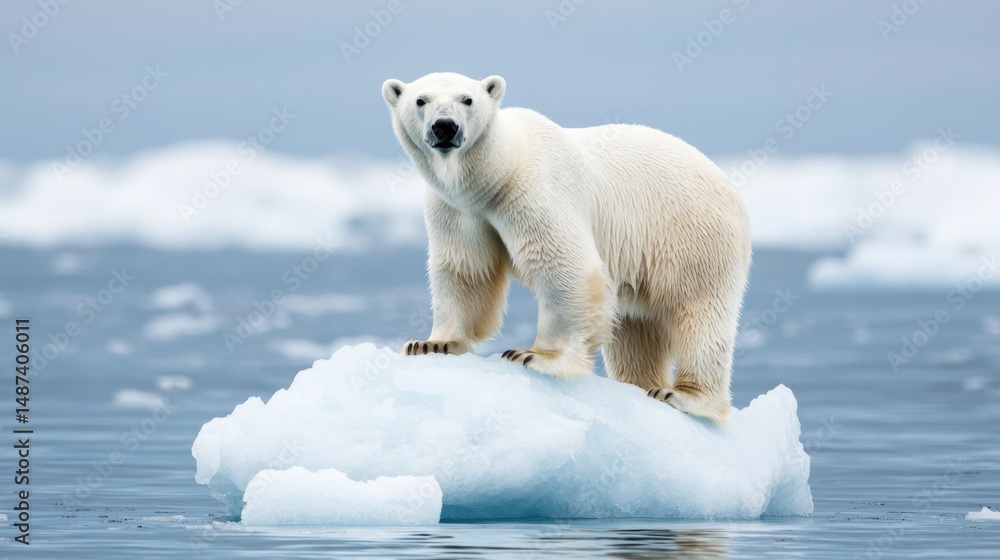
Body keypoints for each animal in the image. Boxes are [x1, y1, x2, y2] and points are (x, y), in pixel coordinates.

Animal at [381, 72, 751, 425]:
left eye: (467, 99)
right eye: (421, 100)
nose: (445, 126)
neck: (496, 175)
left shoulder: (534, 192)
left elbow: (564, 265)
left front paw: (536, 356)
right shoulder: (457, 211)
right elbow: (465, 270)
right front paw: (432, 343)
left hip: (691, 237)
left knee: (699, 314)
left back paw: (683, 396)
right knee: (636, 329)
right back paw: (639, 385)